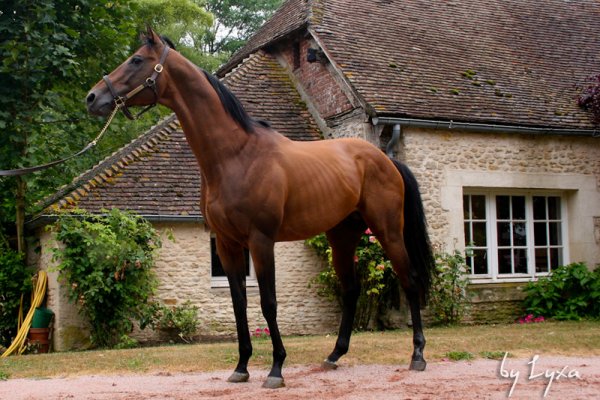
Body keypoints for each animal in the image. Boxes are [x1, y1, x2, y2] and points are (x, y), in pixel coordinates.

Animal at [85, 27, 432, 388]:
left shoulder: (261, 241)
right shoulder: (227, 244)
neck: (235, 155)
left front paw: (276, 368)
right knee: (351, 290)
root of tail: (386, 161)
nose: (93, 97)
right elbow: (239, 304)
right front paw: (241, 366)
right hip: (342, 236)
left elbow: (268, 303)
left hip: (387, 231)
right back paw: (334, 355)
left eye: (137, 60)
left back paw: (417, 355)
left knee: (410, 281)